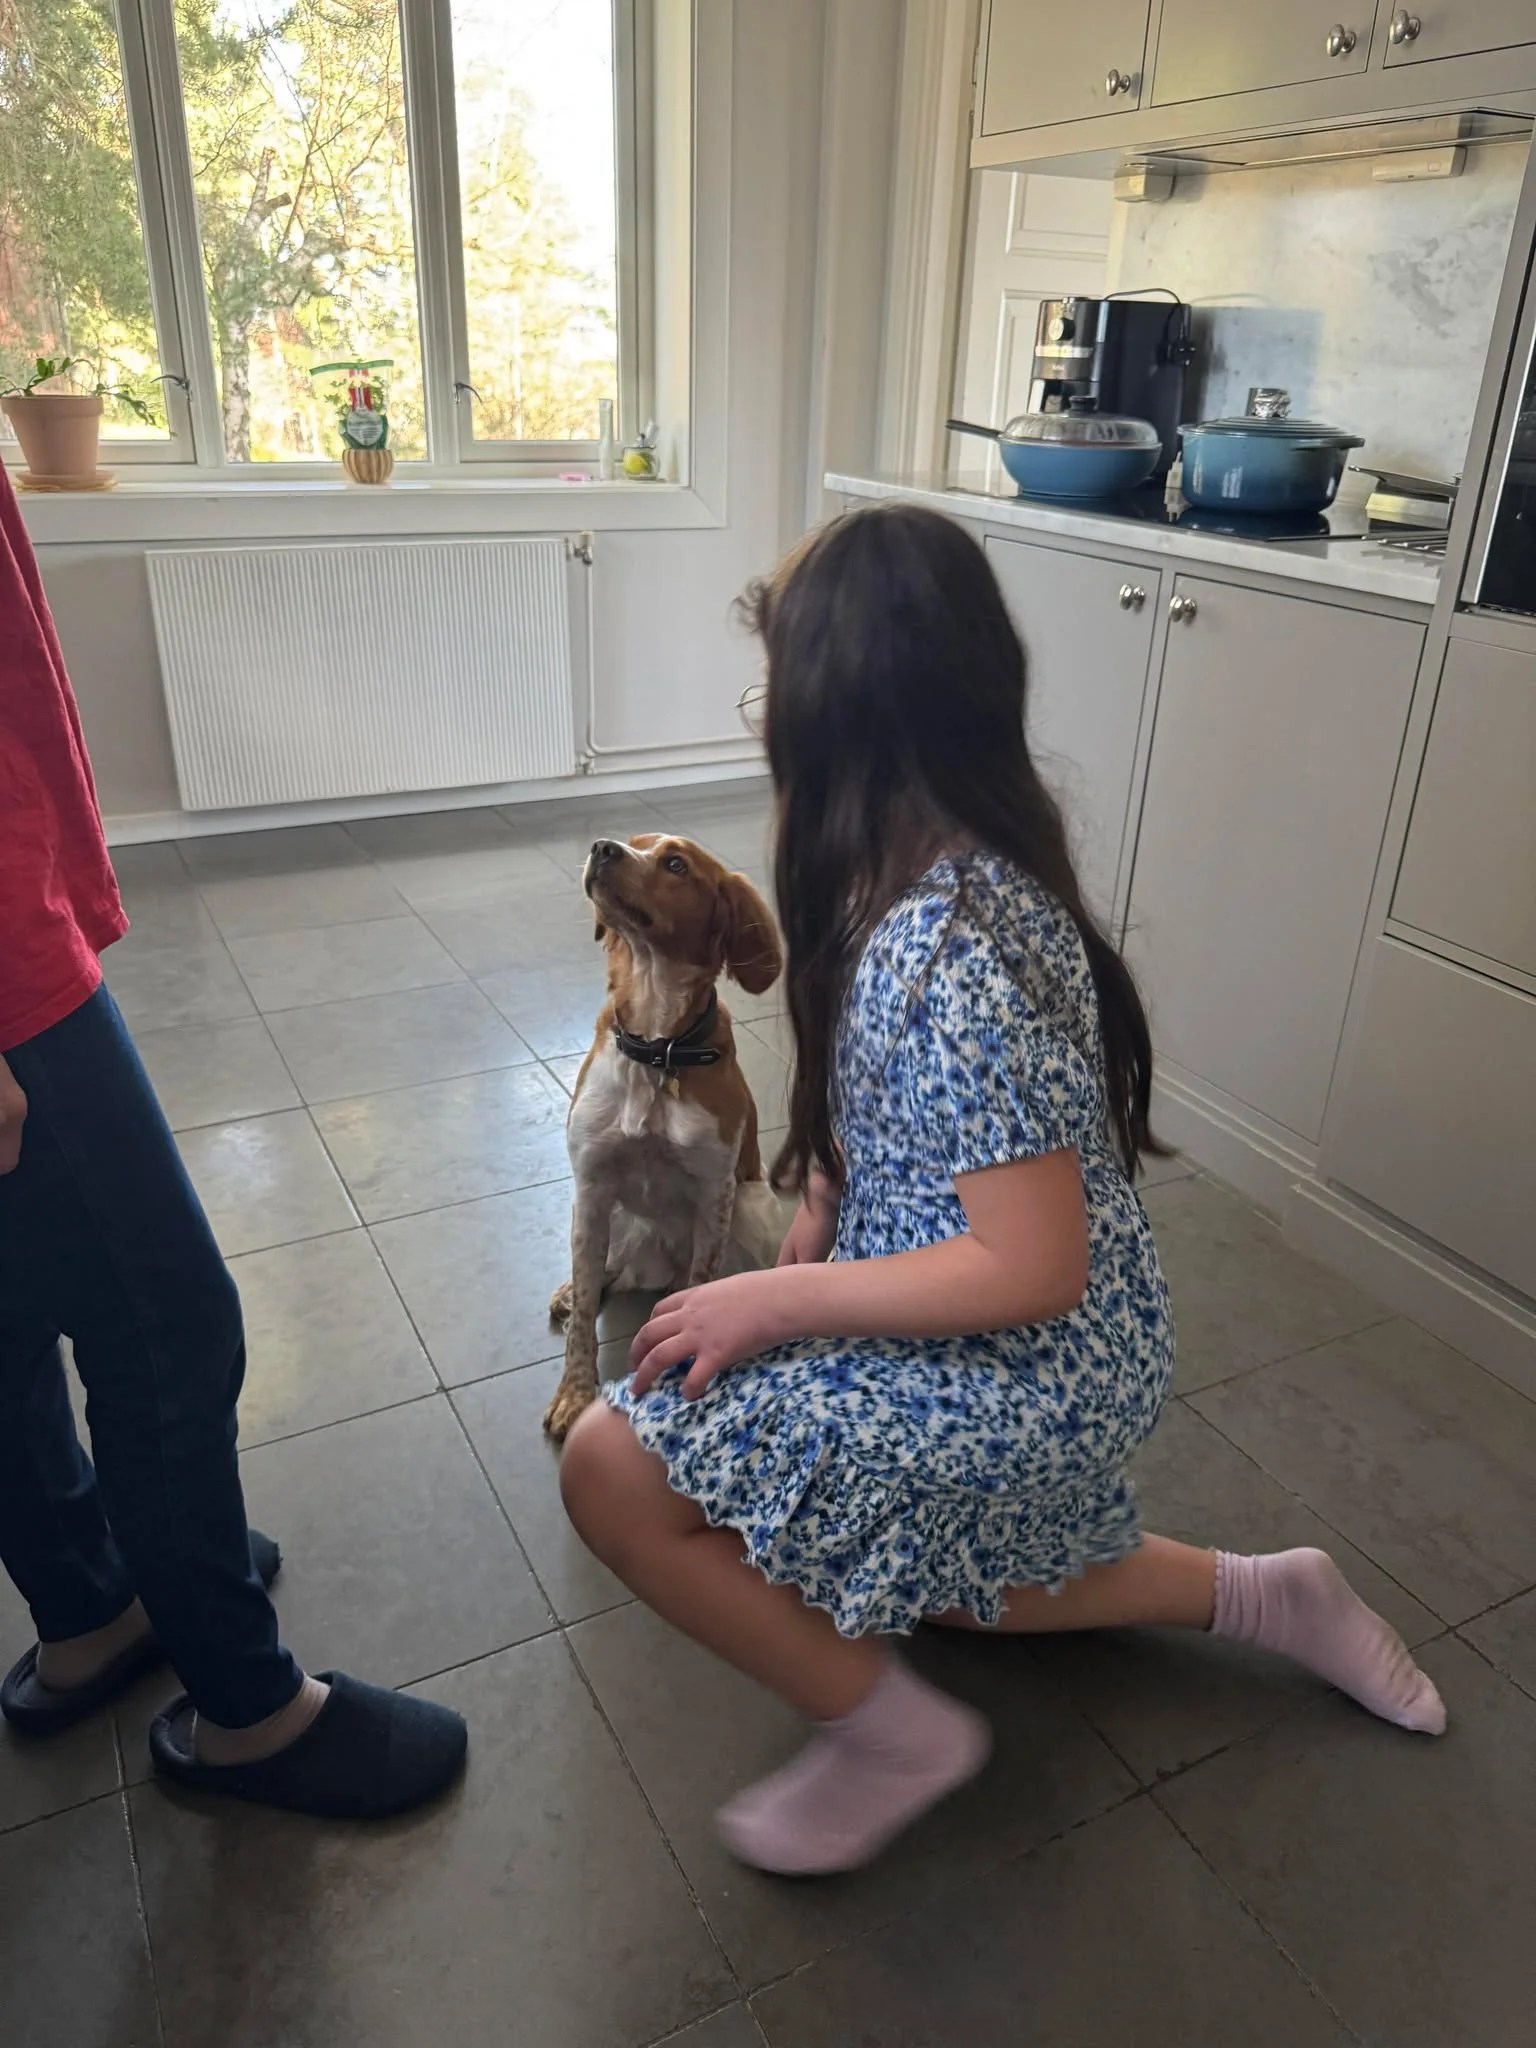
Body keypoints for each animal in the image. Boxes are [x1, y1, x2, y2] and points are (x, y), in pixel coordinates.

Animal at [543, 833, 787, 1440]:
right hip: (606, 1215)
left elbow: (702, 1285)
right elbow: (585, 1314)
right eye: (632, 843)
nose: (602, 848)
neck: (658, 1047)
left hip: (754, 1204)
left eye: (676, 864)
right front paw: (575, 1394)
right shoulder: (591, 1183)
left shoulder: (717, 1192)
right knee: (598, 1274)